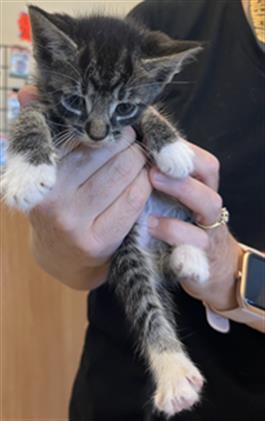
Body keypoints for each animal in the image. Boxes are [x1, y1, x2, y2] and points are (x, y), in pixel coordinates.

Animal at [0, 6, 208, 416]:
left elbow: (150, 113)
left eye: (124, 107)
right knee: (144, 297)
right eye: (75, 100)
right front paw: (26, 172)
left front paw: (172, 145)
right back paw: (175, 372)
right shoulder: (42, 97)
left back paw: (192, 257)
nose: (97, 134)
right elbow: (29, 114)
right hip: (124, 243)